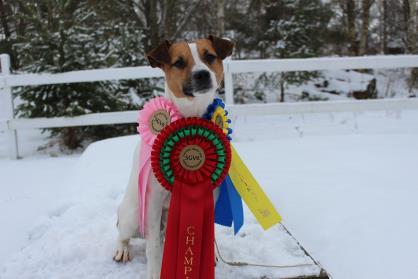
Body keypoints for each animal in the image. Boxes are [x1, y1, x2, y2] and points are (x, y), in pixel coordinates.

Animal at [112, 35, 233, 279]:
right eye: (179, 62)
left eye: (210, 56)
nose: (202, 74)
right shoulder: (153, 199)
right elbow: (153, 249)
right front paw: (155, 272)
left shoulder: (211, 195)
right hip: (133, 213)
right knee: (125, 233)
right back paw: (122, 249)